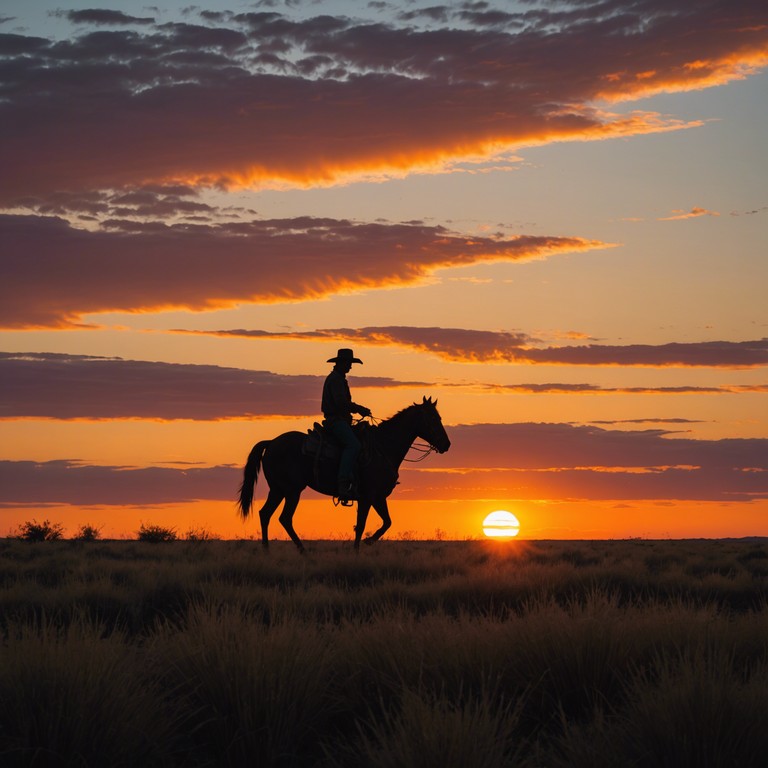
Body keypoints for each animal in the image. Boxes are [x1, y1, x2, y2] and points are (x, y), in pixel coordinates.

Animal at [237, 396, 448, 552]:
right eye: (433, 419)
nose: (447, 444)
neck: (382, 447)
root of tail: (271, 442)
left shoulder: (378, 497)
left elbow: (386, 522)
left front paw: (367, 542)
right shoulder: (368, 496)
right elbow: (362, 525)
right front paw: (359, 549)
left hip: (278, 490)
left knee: (266, 514)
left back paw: (268, 550)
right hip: (291, 491)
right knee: (284, 518)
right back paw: (302, 551)